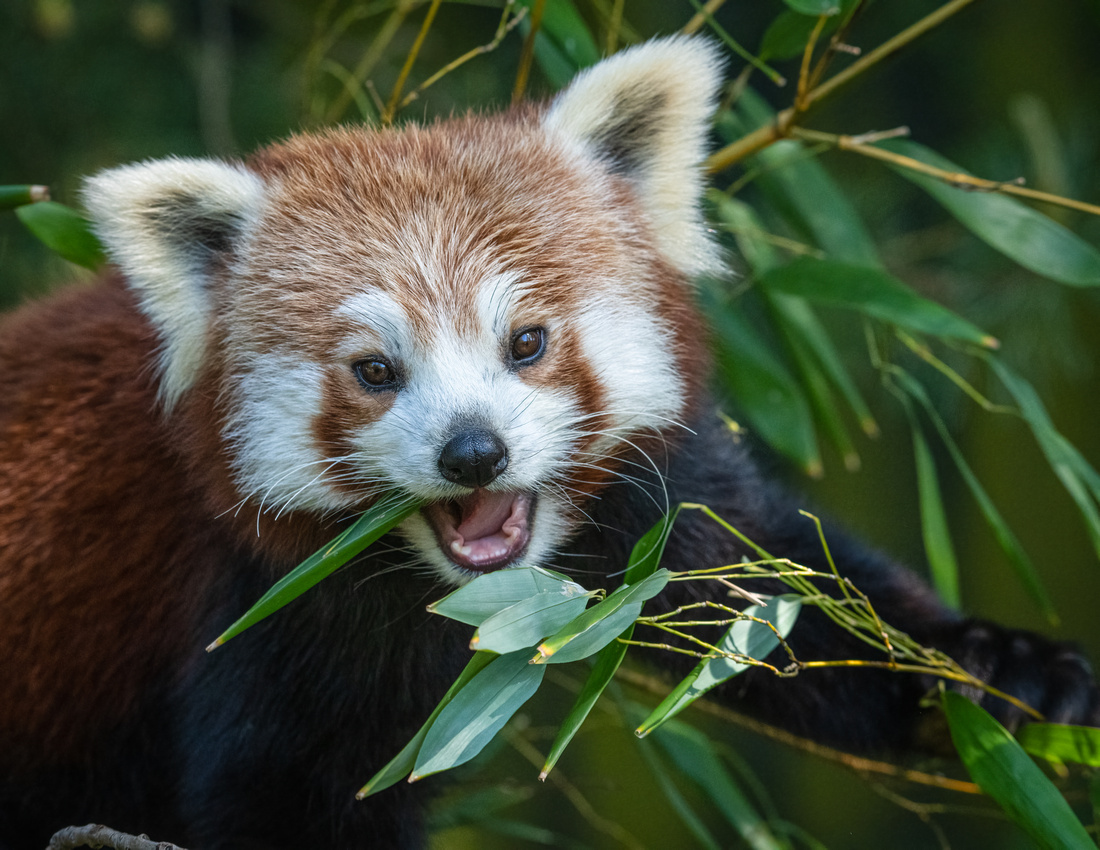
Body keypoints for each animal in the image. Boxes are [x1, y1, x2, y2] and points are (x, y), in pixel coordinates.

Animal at [2, 36, 1100, 844]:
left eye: (525, 341)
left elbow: (775, 602)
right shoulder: (256, 608)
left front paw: (999, 664)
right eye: (375, 370)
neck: (462, 594)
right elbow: (287, 800)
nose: (472, 453)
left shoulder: (653, 511)